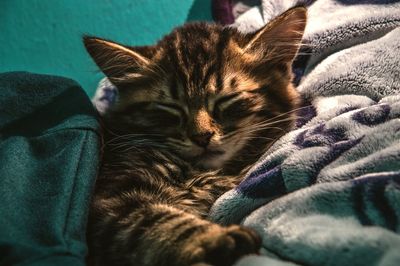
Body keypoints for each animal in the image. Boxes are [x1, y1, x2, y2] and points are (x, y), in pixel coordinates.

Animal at [84, 6, 306, 266]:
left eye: (226, 100)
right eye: (170, 107)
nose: (202, 137)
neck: (201, 173)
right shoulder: (108, 201)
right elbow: (155, 220)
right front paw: (219, 239)